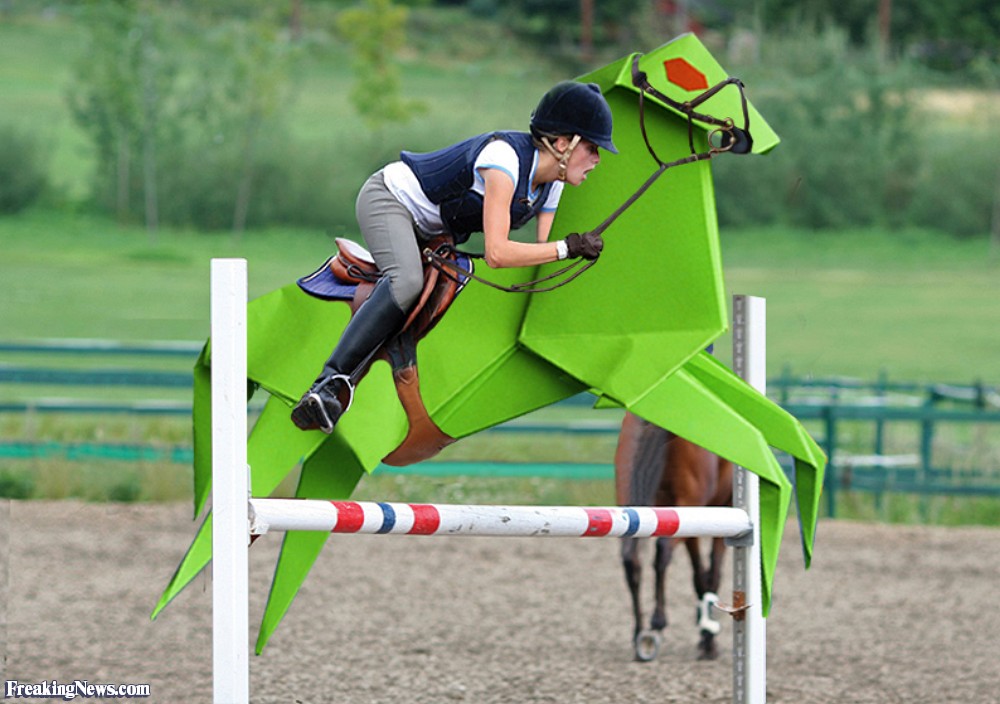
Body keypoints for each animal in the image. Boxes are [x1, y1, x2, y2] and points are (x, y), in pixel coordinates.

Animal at [614, 410, 734, 661]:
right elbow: (712, 575)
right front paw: (708, 640)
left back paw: (639, 633)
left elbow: (699, 577)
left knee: (631, 559)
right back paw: (656, 624)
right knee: (662, 553)